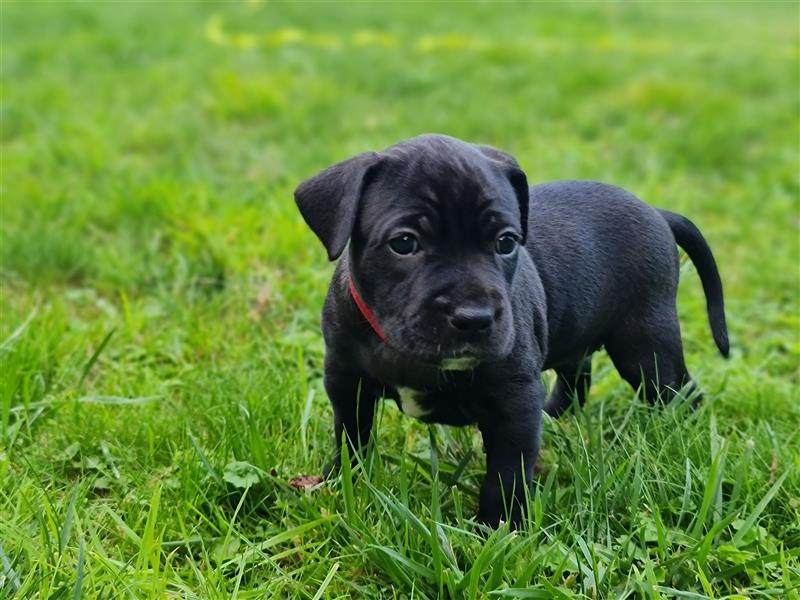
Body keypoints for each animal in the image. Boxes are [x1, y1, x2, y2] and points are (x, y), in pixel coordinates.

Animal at [296, 135, 732, 524]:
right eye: (404, 243)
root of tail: (657, 212)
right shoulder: (345, 379)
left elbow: (505, 476)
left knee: (678, 391)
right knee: (577, 373)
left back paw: (684, 439)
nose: (474, 317)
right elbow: (351, 436)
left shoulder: (514, 403)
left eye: (507, 243)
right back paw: (554, 416)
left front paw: (496, 530)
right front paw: (342, 483)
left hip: (645, 345)